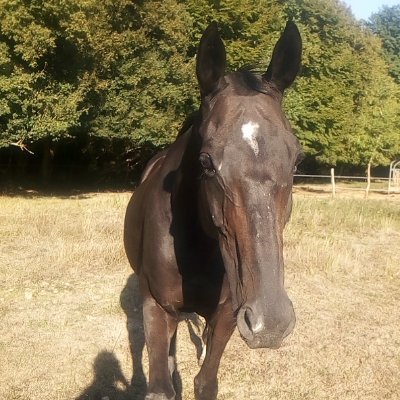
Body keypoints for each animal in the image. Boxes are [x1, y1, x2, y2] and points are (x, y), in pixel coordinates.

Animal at [123, 21, 302, 400]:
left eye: (297, 160)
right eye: (206, 161)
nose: (270, 323)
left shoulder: (226, 316)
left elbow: (205, 382)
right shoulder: (156, 308)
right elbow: (160, 386)